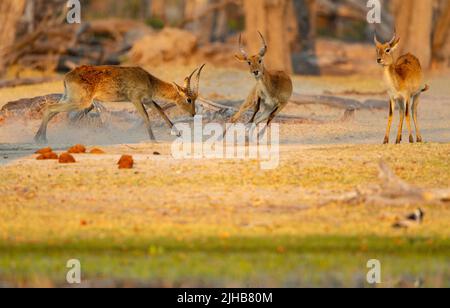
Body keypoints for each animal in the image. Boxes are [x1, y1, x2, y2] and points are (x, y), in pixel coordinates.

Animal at [33, 64, 206, 144]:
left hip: (68, 98)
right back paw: (41, 139)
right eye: (189, 99)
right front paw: (153, 139)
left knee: (52, 110)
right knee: (50, 108)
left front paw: (178, 133)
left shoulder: (147, 100)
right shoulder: (136, 99)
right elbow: (146, 117)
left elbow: (161, 111)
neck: (149, 80)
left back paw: (39, 138)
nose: (193, 114)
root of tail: (67, 76)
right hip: (80, 102)